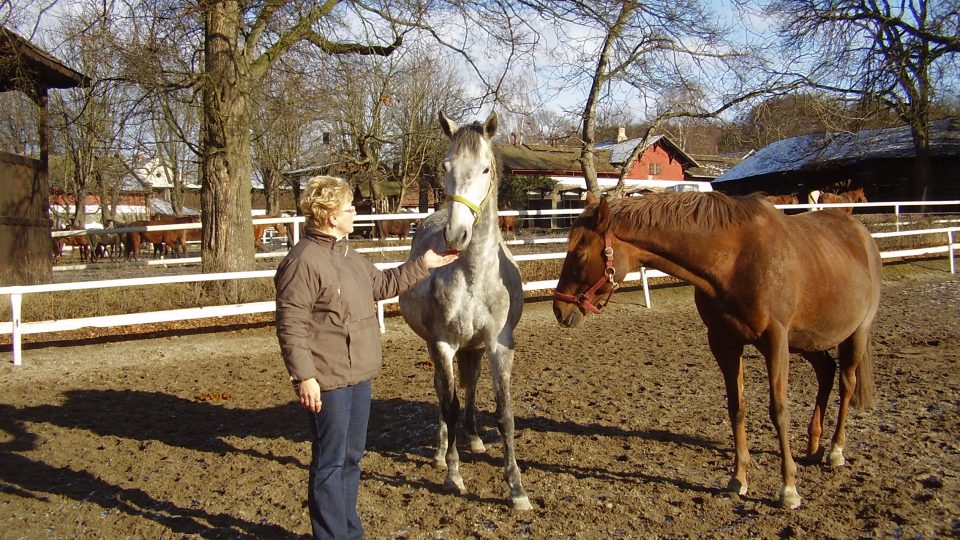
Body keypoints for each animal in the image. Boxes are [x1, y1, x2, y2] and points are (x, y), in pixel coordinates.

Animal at [398, 110, 532, 510]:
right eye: (446, 166)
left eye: (485, 168)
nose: (456, 235)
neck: (474, 275)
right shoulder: (444, 344)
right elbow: (450, 405)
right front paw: (454, 475)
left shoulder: (500, 345)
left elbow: (504, 413)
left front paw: (517, 489)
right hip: (439, 347)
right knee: (444, 393)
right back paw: (442, 453)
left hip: (473, 348)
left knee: (469, 386)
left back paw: (473, 439)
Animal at [552, 191, 880, 510]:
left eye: (579, 254)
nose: (559, 308)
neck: (735, 261)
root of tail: (861, 233)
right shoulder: (724, 343)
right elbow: (737, 408)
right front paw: (738, 479)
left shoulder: (776, 341)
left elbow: (779, 411)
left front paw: (788, 489)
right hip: (809, 340)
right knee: (826, 373)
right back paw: (814, 446)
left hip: (855, 334)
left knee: (846, 383)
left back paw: (836, 450)